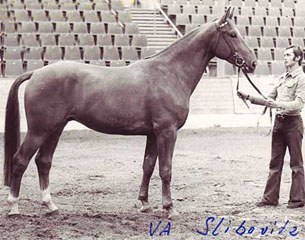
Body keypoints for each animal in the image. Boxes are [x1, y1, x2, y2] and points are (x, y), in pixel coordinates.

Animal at [4, 7, 256, 218]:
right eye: (232, 34)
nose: (252, 63)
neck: (169, 73)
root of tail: (36, 73)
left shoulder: (153, 133)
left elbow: (148, 166)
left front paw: (144, 203)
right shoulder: (167, 131)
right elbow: (166, 169)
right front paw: (169, 208)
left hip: (55, 129)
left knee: (43, 161)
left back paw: (50, 205)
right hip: (39, 130)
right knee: (20, 160)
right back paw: (14, 207)